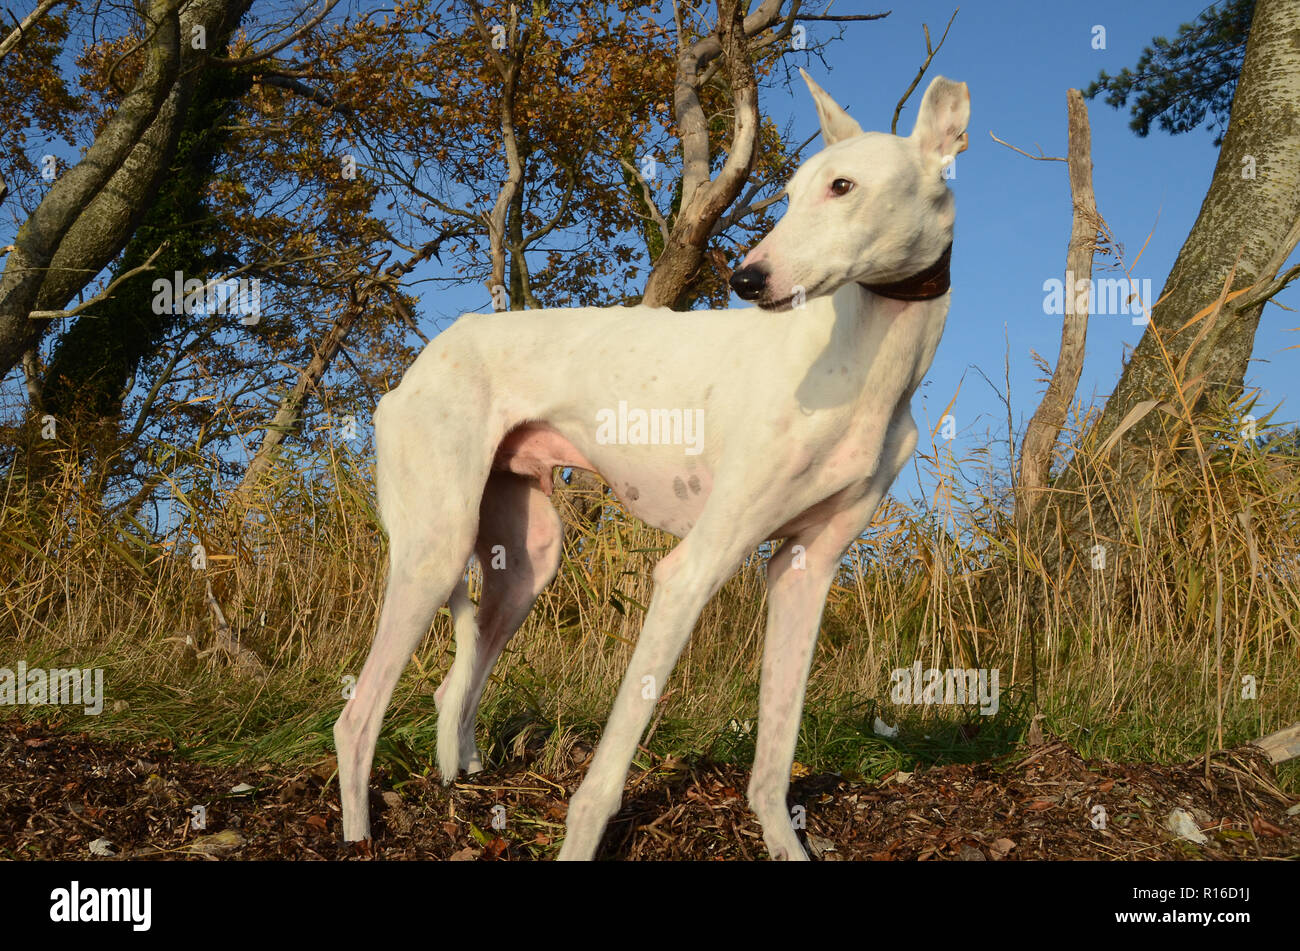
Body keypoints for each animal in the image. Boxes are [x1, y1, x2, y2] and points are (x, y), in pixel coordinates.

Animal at [335, 70, 967, 857]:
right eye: (792, 192)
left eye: (842, 186)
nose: (747, 279)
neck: (864, 358)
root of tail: (424, 360)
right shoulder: (689, 571)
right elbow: (605, 776)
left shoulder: (804, 571)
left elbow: (774, 759)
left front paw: (784, 843)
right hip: (434, 551)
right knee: (356, 716)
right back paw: (359, 832)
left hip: (526, 561)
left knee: (453, 686)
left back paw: (462, 781)